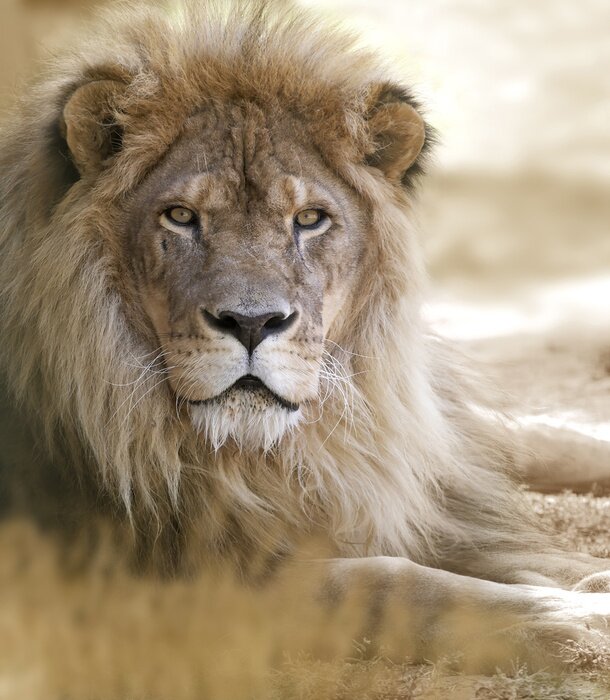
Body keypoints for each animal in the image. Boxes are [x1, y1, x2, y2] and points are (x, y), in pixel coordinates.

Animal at [0, 0, 609, 672]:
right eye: (181, 216)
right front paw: (575, 614)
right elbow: (394, 584)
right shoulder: (163, 584)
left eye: (310, 219)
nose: (251, 323)